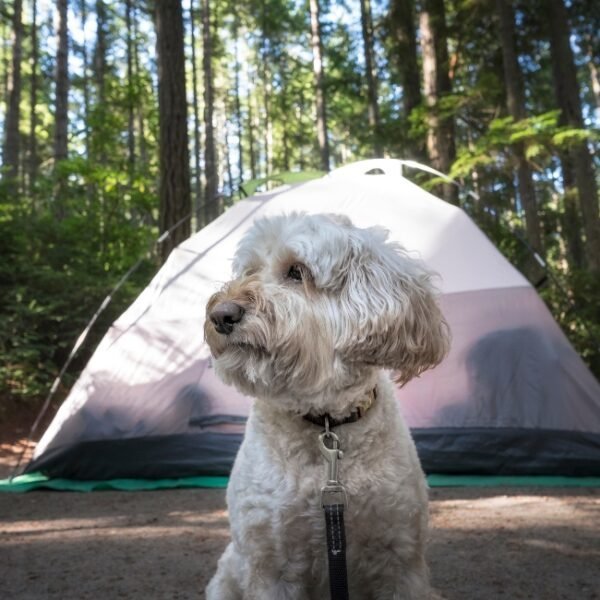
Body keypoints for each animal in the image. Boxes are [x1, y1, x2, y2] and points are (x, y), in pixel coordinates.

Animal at [204, 213, 448, 596]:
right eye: (249, 270)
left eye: (296, 271)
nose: (220, 315)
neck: (326, 423)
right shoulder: (270, 565)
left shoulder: (400, 560)